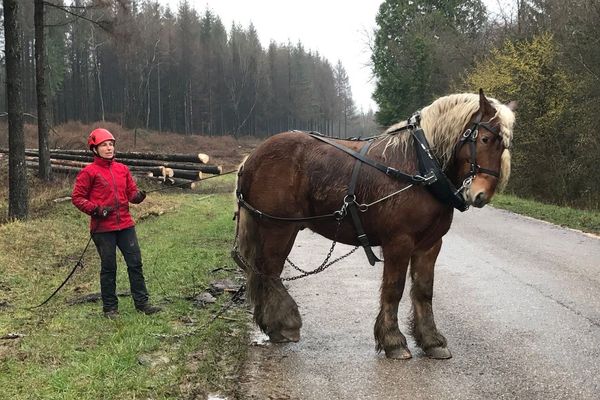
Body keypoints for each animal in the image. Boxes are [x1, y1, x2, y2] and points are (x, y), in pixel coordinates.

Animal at [232, 90, 512, 360]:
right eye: (485, 139)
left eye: (505, 144)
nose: (481, 195)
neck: (420, 167)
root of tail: (250, 158)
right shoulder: (398, 242)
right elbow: (394, 289)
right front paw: (393, 341)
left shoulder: (430, 245)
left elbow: (424, 290)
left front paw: (431, 341)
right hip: (278, 228)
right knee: (269, 271)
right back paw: (283, 324)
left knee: (265, 272)